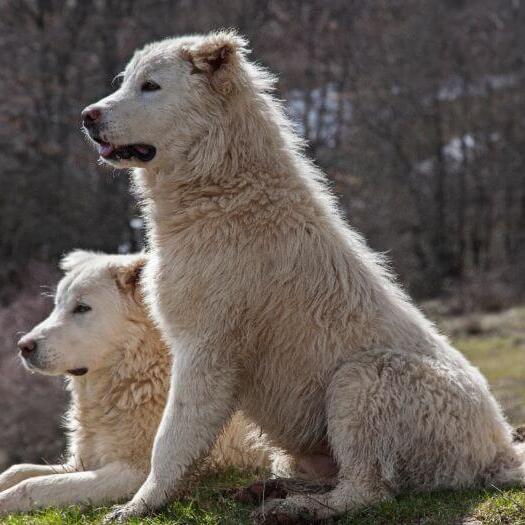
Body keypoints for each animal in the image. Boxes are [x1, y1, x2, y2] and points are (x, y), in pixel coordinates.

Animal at [0, 250, 270, 512]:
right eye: (57, 305)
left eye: (82, 308)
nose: (23, 346)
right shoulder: (83, 461)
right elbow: (18, 470)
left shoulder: (133, 472)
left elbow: (33, 485)